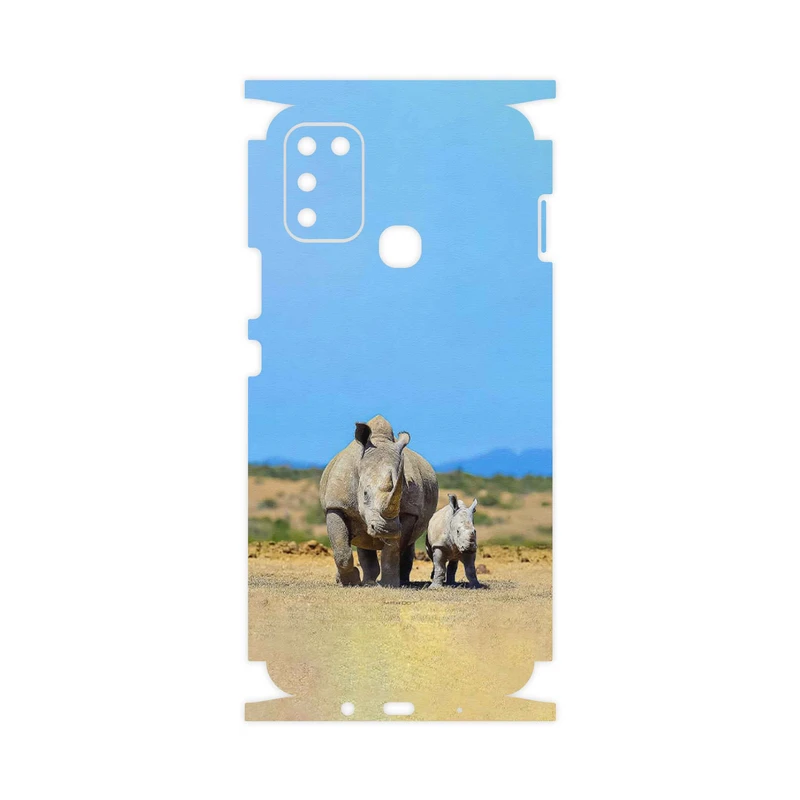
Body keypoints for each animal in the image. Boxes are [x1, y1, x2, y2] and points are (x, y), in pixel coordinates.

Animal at [319, 415, 438, 587]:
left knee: (407, 543)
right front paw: (350, 582)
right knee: (363, 540)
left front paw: (390, 584)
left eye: (401, 494)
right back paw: (366, 582)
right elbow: (341, 549)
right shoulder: (336, 505)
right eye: (365, 494)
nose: (387, 529)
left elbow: (393, 549)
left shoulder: (409, 512)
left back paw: (400, 581)